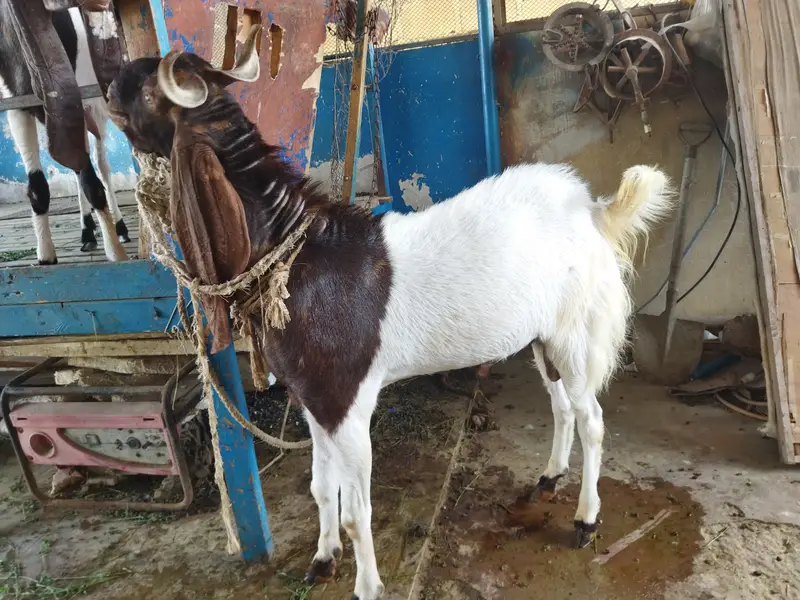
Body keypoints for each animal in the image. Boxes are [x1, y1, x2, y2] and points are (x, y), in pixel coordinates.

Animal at [0, 6, 129, 264]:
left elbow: (92, 181)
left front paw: (115, 252)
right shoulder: (17, 106)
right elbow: (38, 186)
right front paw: (45, 255)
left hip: (100, 108)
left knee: (103, 166)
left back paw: (119, 228)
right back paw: (87, 231)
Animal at [106, 30, 673, 600]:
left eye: (152, 91)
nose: (108, 86)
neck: (299, 255)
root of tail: (594, 211)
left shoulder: (349, 401)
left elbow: (357, 513)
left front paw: (366, 585)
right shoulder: (314, 399)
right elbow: (320, 487)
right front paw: (323, 559)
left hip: (577, 331)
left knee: (592, 418)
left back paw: (586, 520)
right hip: (542, 337)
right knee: (562, 407)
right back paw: (549, 479)